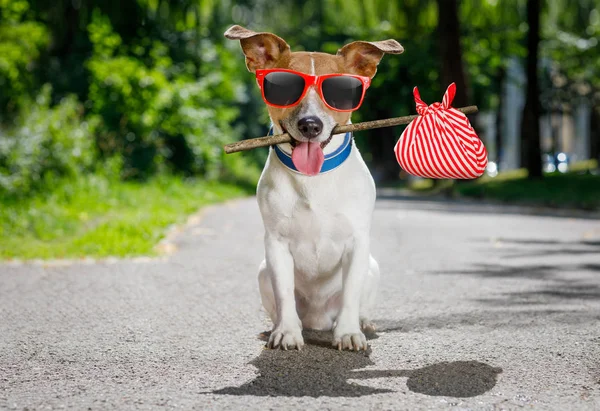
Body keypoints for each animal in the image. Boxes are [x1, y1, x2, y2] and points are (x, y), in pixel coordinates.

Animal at [225, 25, 404, 350]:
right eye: (283, 87)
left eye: (340, 92)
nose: (310, 125)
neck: (313, 179)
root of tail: (318, 320)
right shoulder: (276, 244)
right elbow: (284, 293)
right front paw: (286, 333)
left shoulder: (357, 243)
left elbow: (351, 294)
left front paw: (348, 333)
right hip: (262, 271)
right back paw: (277, 327)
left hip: (372, 267)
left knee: (360, 302)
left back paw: (363, 323)